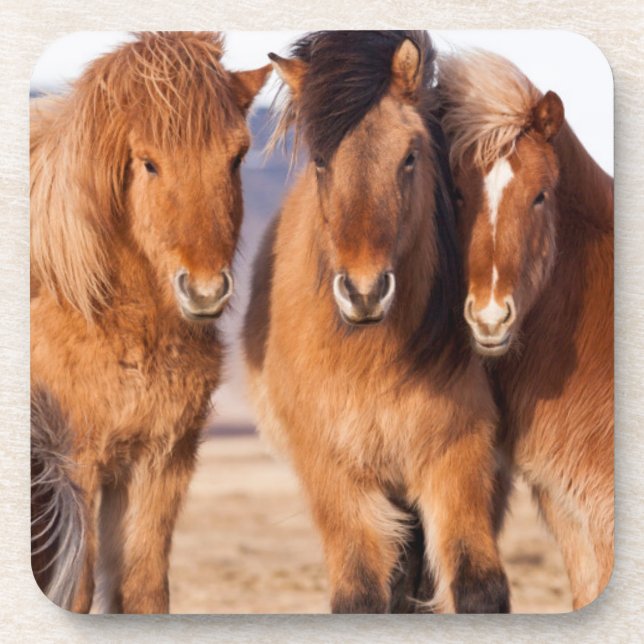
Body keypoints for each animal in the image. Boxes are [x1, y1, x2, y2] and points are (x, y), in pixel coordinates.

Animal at [30, 31, 270, 613]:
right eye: (148, 163)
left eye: (237, 157)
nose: (204, 290)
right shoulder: (74, 463)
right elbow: (77, 589)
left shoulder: (161, 461)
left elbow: (143, 590)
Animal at [243, 31, 510, 614]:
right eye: (321, 161)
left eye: (410, 157)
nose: (363, 292)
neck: (371, 361)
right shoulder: (333, 472)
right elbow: (361, 593)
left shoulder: (460, 454)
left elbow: (479, 587)